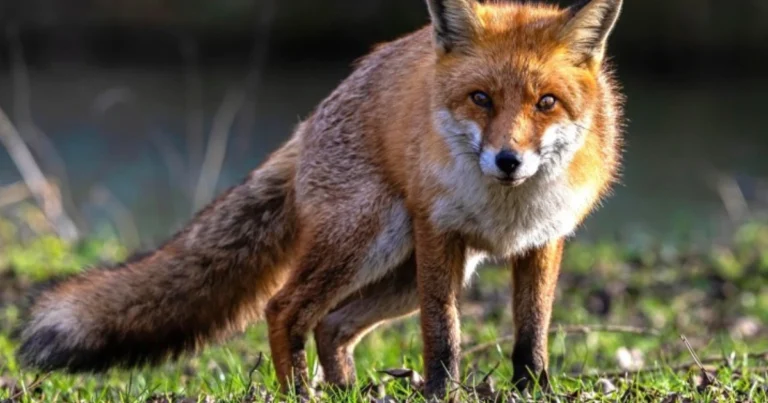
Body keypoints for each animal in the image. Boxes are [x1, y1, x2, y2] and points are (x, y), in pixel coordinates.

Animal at [17, 0, 624, 400]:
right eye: (481, 98)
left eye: (546, 102)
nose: (508, 161)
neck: (507, 208)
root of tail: (308, 123)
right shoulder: (438, 232)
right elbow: (443, 335)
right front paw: (440, 392)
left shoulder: (544, 240)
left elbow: (532, 332)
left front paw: (533, 390)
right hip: (375, 241)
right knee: (285, 309)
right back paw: (299, 393)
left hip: (405, 272)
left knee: (332, 324)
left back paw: (345, 390)